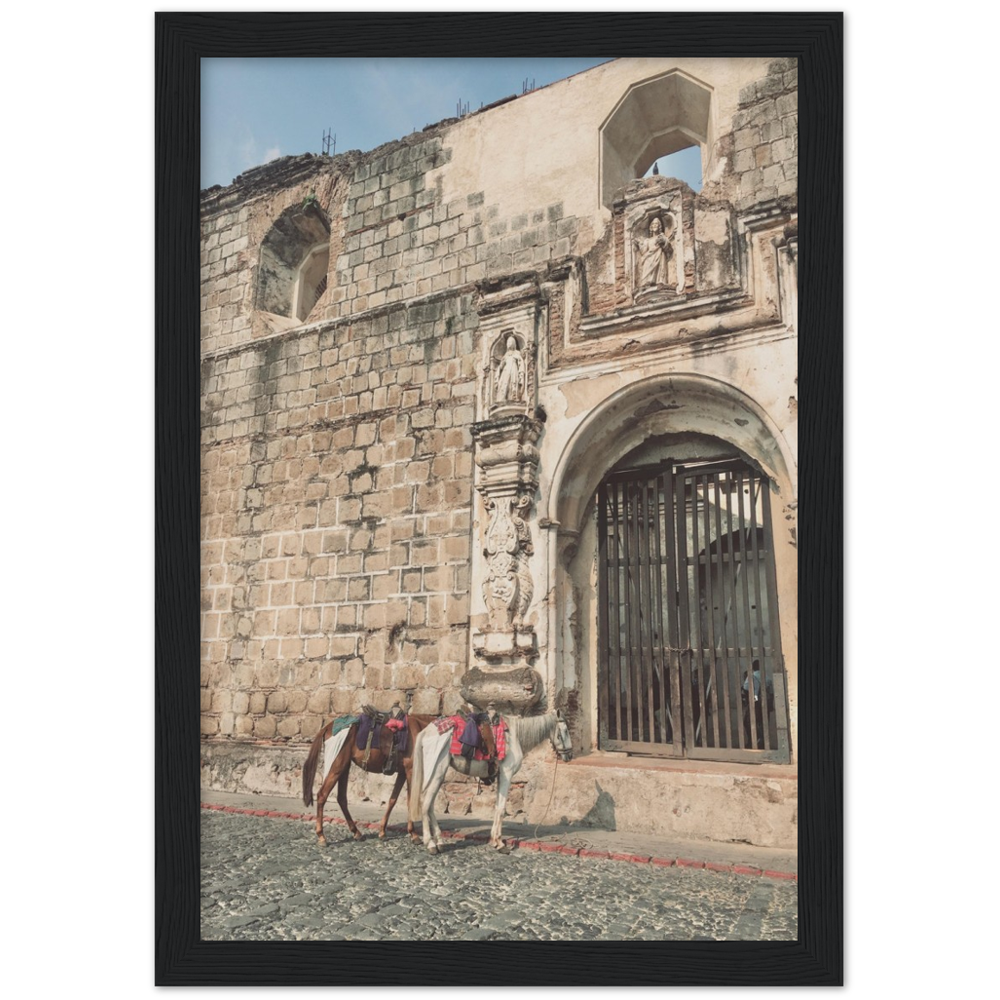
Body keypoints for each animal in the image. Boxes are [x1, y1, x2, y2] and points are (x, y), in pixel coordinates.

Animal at [300, 712, 434, 844]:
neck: (421, 728)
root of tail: (327, 727)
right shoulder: (411, 771)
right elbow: (410, 801)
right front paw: (414, 834)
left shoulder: (402, 772)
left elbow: (392, 800)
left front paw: (382, 832)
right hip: (337, 766)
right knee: (322, 795)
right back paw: (321, 836)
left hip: (344, 766)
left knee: (341, 798)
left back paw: (356, 833)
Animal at [406, 712, 572, 852]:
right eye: (565, 731)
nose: (569, 755)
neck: (515, 736)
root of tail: (425, 732)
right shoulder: (506, 775)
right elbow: (502, 809)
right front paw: (500, 844)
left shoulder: (500, 777)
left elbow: (498, 807)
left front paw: (494, 840)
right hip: (436, 772)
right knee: (425, 803)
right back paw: (431, 844)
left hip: (438, 775)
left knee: (430, 806)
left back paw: (439, 841)